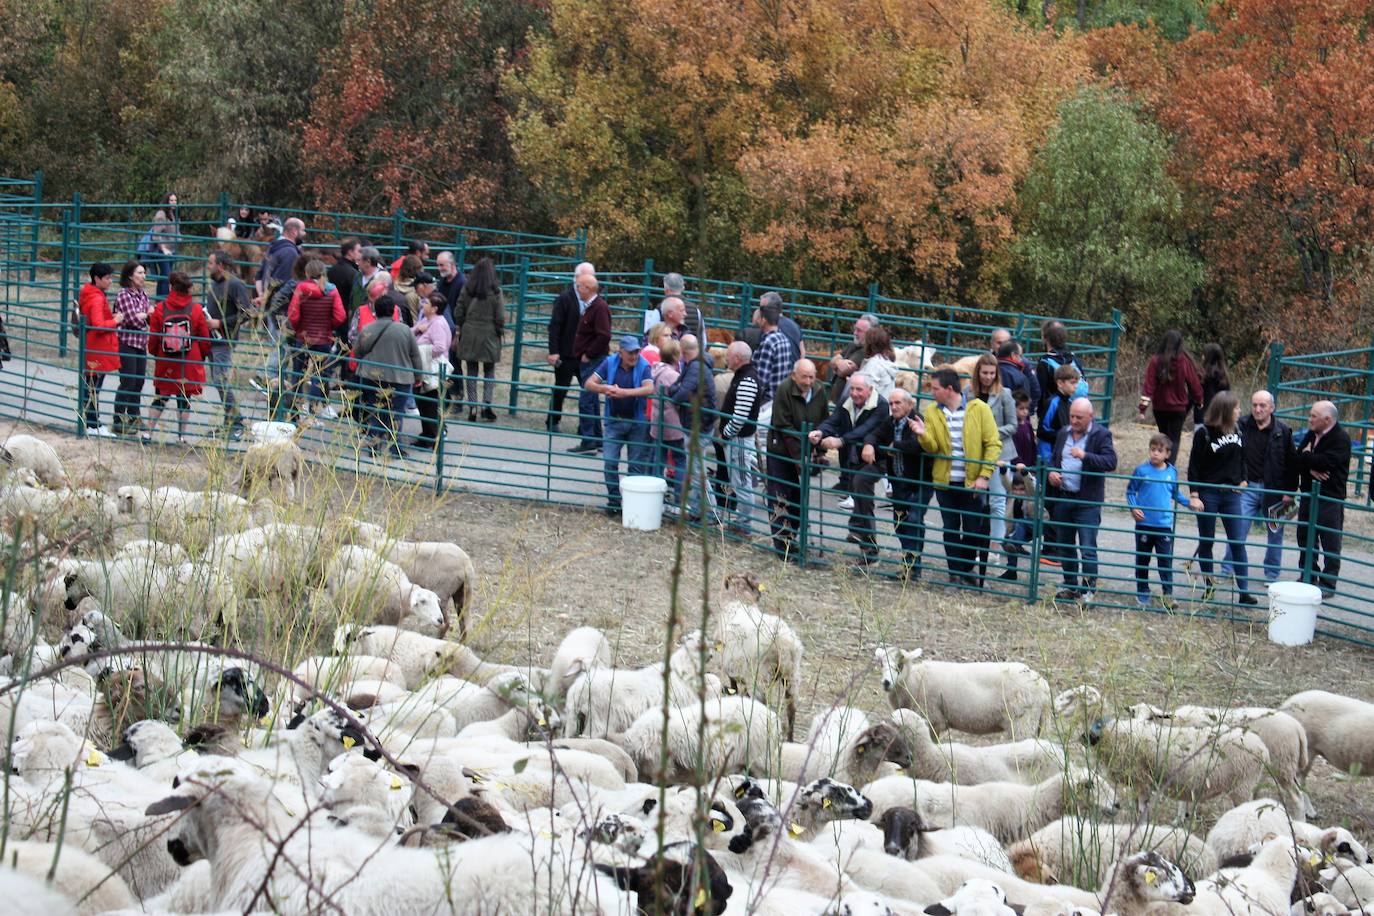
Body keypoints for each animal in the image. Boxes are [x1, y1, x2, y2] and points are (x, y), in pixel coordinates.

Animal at [873, 648, 1044, 741]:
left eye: (900, 665)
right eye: (881, 664)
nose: (886, 682)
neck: (915, 681)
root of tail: (1043, 684)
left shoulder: (933, 720)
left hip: (1022, 723)